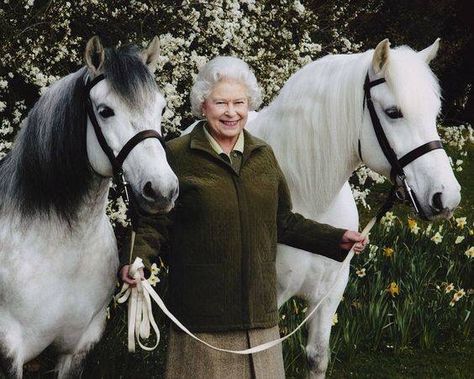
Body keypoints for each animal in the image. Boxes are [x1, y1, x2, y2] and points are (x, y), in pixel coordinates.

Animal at [246, 40, 462, 378]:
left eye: (434, 113)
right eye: (393, 112)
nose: (446, 198)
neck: (310, 200)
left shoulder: (329, 294)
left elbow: (317, 357)